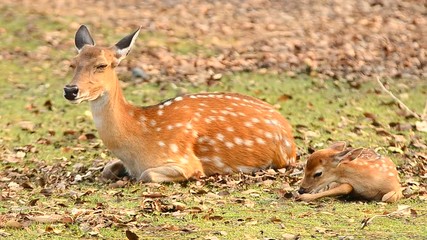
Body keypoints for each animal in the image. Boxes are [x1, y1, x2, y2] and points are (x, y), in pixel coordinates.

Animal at [63, 25, 298, 182]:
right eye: (73, 63)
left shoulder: (184, 160)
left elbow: (147, 175)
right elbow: (107, 169)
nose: (70, 90)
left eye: (101, 65)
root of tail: (290, 135)